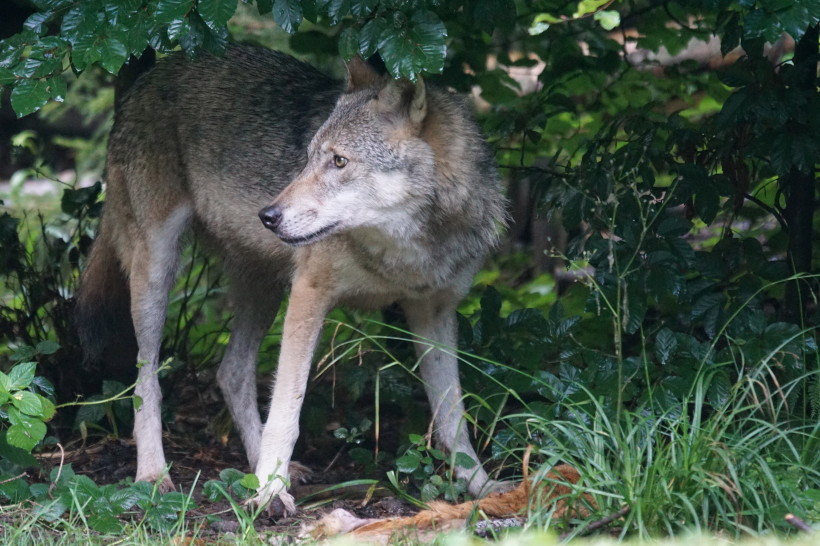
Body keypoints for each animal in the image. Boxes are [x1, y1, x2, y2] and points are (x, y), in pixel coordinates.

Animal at [77, 46, 510, 510]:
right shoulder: (309, 294)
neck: (409, 250)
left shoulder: (434, 311)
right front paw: (269, 492)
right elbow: (287, 409)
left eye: (339, 161)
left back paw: (256, 467)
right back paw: (155, 474)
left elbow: (453, 417)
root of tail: (156, 72)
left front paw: (481, 487)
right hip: (157, 274)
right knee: (146, 381)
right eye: (307, 158)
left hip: (263, 289)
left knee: (231, 372)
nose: (267, 216)